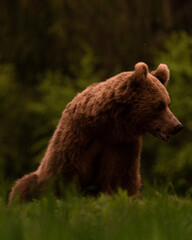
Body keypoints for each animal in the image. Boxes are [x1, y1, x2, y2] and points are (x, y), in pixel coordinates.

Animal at [8, 62, 183, 204]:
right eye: (160, 105)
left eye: (168, 103)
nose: (177, 126)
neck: (110, 125)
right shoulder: (79, 137)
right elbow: (64, 173)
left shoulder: (122, 146)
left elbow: (120, 179)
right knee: (25, 185)